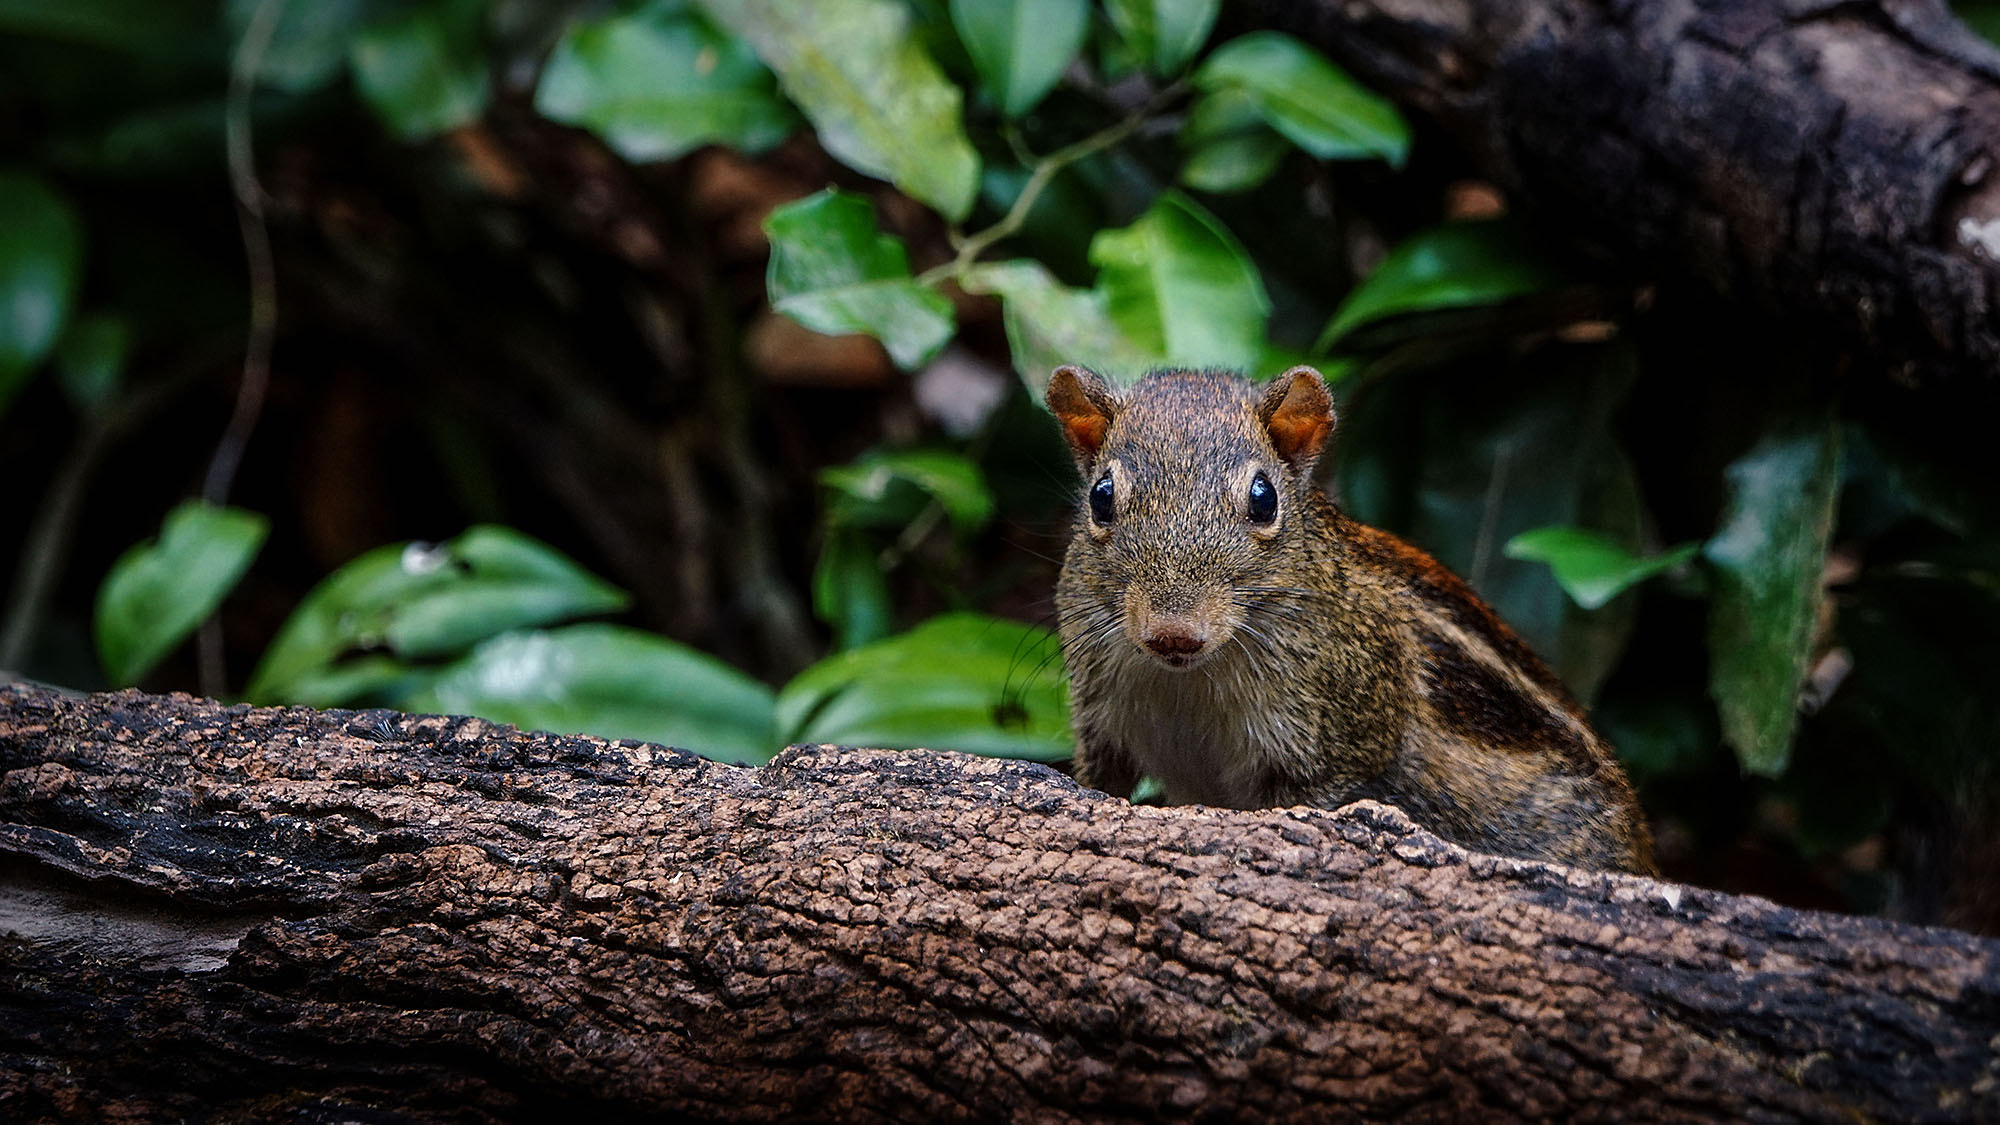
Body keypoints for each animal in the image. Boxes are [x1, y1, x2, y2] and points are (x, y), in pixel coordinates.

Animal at [1048, 364, 1656, 872]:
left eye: (1264, 498)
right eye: (1101, 497)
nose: (1174, 633)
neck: (1187, 683)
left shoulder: (1337, 745)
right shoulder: (1098, 717)